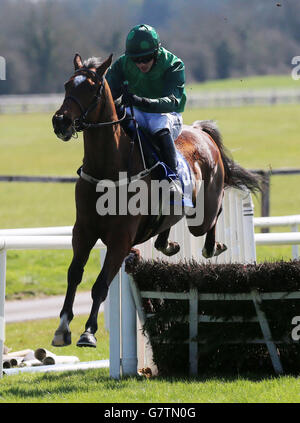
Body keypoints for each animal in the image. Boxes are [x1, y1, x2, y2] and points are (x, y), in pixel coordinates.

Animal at [51, 54, 260, 350]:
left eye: (92, 89)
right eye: (68, 85)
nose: (61, 122)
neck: (108, 168)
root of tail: (201, 131)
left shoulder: (120, 238)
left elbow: (101, 284)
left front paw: (88, 332)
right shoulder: (83, 231)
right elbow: (74, 274)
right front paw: (62, 327)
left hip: (203, 212)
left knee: (213, 216)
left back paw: (213, 246)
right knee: (166, 226)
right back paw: (168, 244)